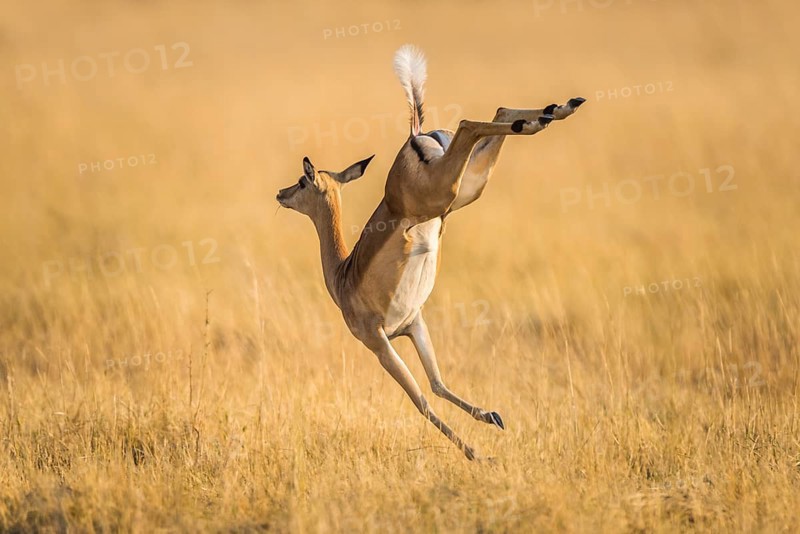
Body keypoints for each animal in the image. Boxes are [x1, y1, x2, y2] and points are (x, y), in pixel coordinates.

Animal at [276, 45, 585, 460]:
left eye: (300, 182)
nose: (279, 194)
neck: (343, 276)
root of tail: (415, 135)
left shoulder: (377, 342)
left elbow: (421, 400)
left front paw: (476, 453)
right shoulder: (413, 324)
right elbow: (438, 384)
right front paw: (491, 418)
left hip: (444, 192)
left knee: (471, 123)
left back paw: (549, 114)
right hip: (465, 189)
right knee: (498, 112)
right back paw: (556, 110)